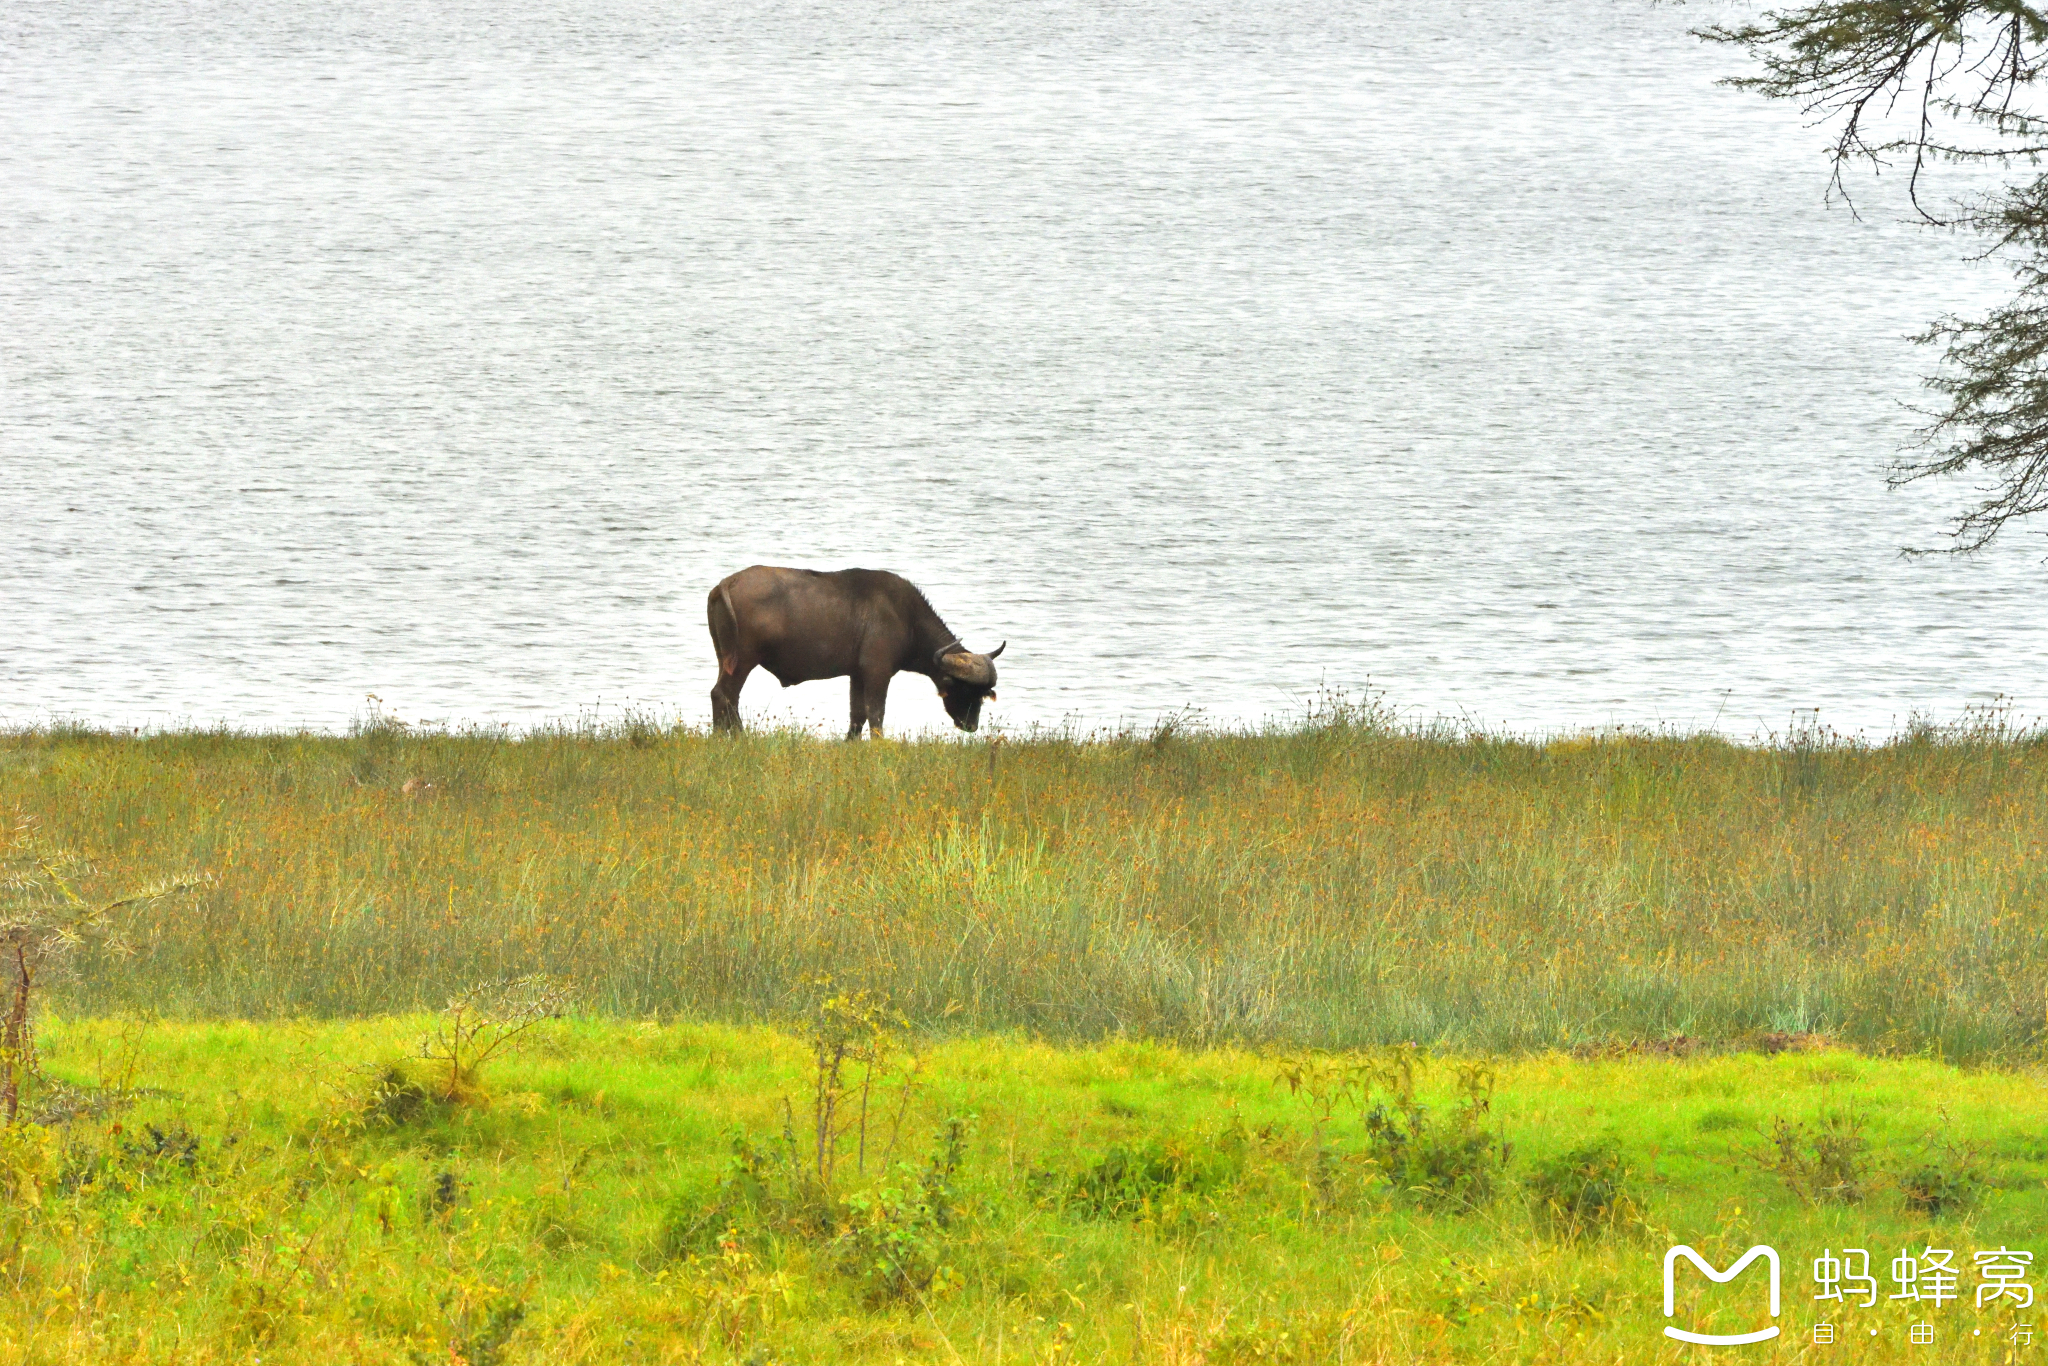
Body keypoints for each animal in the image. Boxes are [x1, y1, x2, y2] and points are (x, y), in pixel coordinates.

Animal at [708, 565, 1003, 737]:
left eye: (983, 694)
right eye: (963, 688)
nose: (971, 725)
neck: (906, 617)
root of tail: (727, 583)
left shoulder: (857, 674)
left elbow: (857, 714)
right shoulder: (877, 673)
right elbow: (875, 713)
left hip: (726, 660)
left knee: (720, 695)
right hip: (743, 661)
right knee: (726, 696)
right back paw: (739, 738)